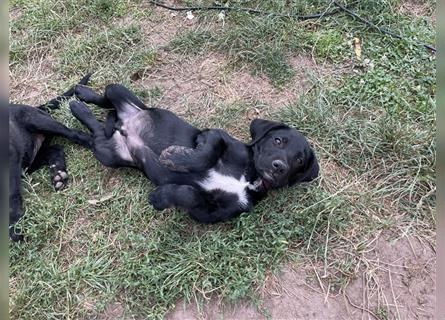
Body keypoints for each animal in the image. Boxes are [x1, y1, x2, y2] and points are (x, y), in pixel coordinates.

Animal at [9, 75, 92, 240]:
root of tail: (37, 107)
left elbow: (12, 201)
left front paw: (15, 229)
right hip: (30, 161)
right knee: (55, 150)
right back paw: (58, 174)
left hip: (39, 122)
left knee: (73, 134)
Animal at [70, 82, 320, 222]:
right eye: (278, 140)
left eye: (299, 161)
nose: (279, 167)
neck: (251, 178)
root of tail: (124, 124)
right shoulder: (214, 136)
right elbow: (206, 154)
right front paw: (175, 158)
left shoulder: (209, 211)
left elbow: (189, 195)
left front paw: (160, 197)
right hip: (119, 91)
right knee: (104, 99)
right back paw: (80, 98)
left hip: (109, 154)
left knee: (97, 134)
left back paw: (80, 110)